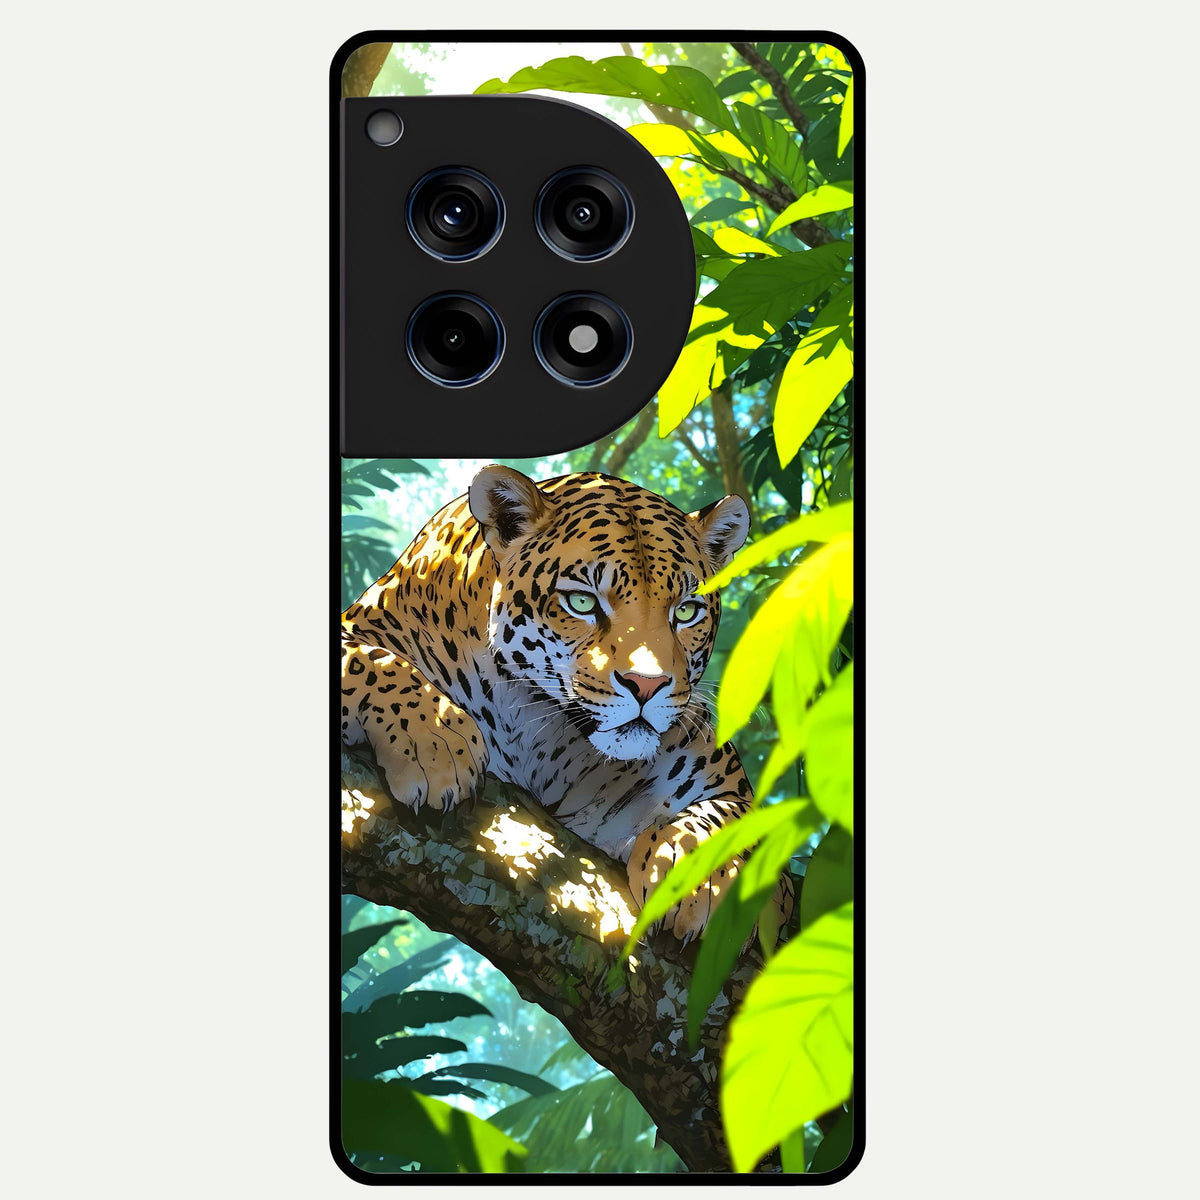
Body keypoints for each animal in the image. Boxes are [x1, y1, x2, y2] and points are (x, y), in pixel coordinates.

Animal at [341, 464, 790, 943]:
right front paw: (436, 742)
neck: (537, 729)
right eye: (582, 602)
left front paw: (695, 872)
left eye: (686, 611)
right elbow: (369, 660)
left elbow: (737, 816)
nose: (646, 685)